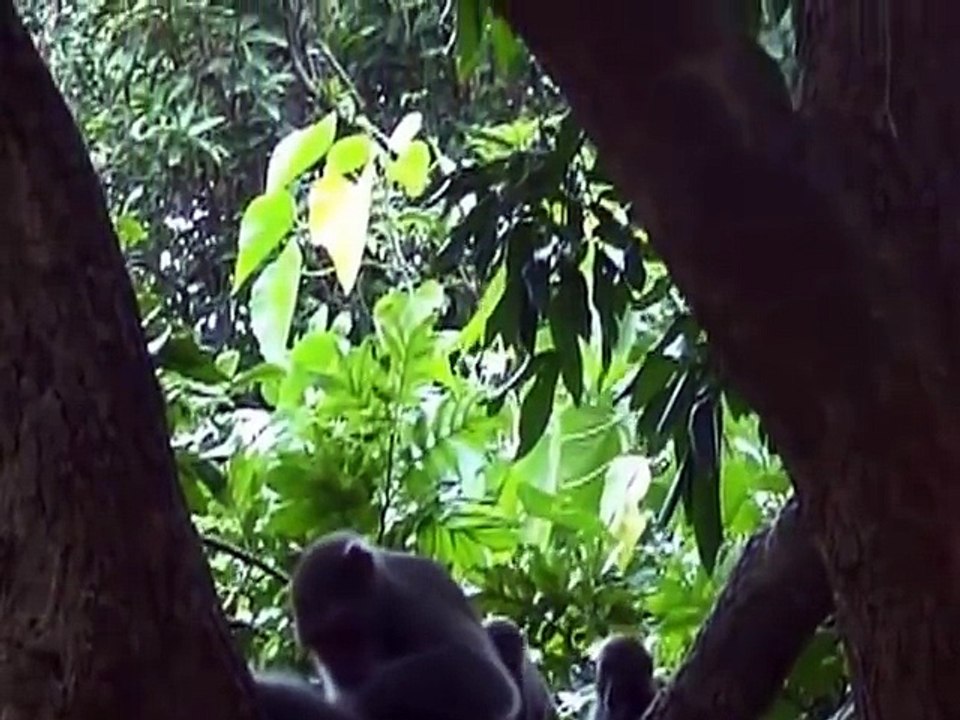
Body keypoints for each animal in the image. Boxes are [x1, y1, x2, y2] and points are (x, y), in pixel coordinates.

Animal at [290, 529, 521, 720]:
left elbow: (488, 678)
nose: (345, 669)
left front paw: (360, 700)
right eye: (322, 645)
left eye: (342, 635)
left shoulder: (414, 604)